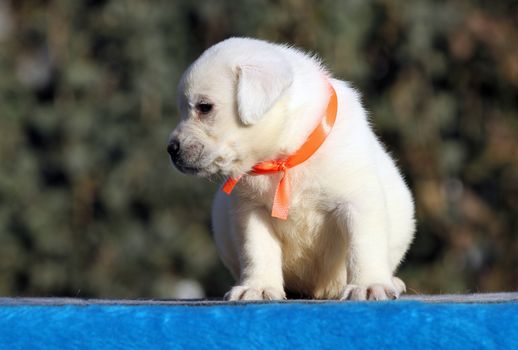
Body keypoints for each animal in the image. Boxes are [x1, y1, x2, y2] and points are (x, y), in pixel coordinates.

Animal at [171, 38, 418, 300]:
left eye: (204, 107)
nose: (171, 149)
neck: (287, 157)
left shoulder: (358, 201)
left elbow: (363, 247)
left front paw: (368, 284)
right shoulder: (252, 212)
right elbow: (258, 251)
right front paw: (258, 287)